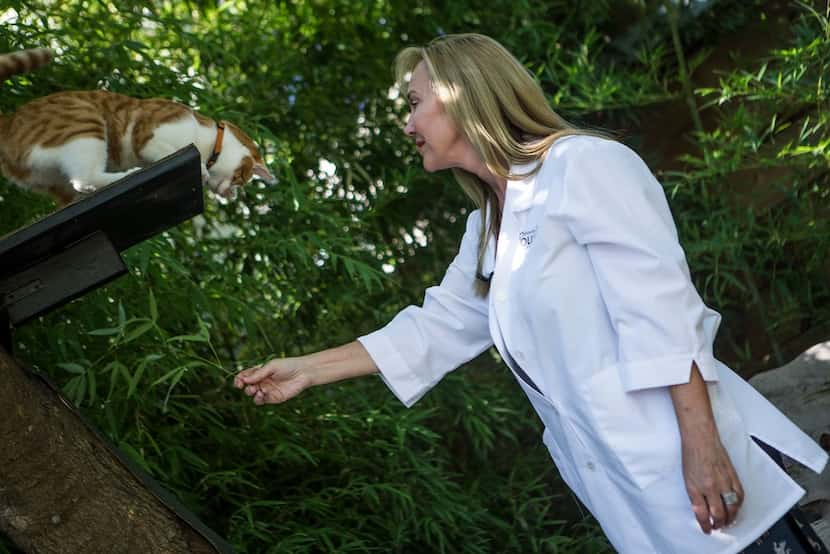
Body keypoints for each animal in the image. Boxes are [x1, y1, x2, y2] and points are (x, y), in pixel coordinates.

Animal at [0, 48, 280, 204]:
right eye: (240, 180)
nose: (231, 194)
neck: (209, 139)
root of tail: (9, 120)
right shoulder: (148, 136)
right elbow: (168, 150)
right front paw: (201, 169)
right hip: (84, 123)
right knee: (84, 178)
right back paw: (129, 174)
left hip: (53, 179)